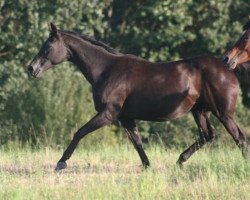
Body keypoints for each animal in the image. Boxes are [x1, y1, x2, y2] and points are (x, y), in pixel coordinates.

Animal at [27, 23, 248, 170]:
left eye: (47, 46)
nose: (31, 68)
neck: (106, 70)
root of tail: (228, 68)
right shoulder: (125, 118)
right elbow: (137, 142)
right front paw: (147, 166)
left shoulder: (108, 114)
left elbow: (79, 132)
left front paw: (61, 162)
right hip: (200, 111)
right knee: (207, 136)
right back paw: (180, 160)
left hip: (223, 113)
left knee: (240, 138)